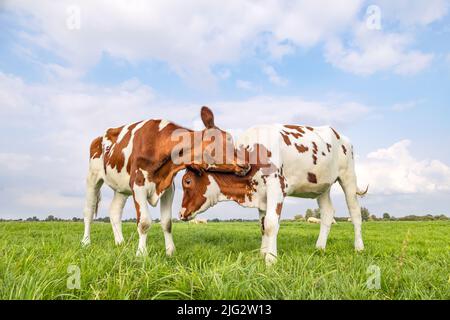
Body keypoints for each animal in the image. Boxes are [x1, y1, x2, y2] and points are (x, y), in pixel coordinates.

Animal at [81, 106, 250, 256]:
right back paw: (86, 242)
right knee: (89, 210)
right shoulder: (138, 184)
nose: (246, 164)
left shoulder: (168, 187)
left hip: (121, 188)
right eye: (225, 141)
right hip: (92, 177)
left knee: (115, 212)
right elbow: (144, 222)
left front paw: (170, 252)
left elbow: (167, 223)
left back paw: (120, 243)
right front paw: (141, 254)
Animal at [180, 124, 370, 264]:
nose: (181, 214)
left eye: (187, 181)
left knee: (355, 213)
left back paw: (359, 248)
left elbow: (271, 224)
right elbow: (262, 226)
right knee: (327, 213)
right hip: (322, 186)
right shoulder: (261, 195)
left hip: (348, 177)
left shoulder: (276, 186)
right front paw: (262, 254)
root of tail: (341, 136)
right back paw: (320, 248)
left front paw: (271, 260)